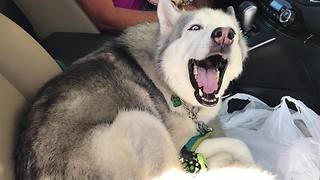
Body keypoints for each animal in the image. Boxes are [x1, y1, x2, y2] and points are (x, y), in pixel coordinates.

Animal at [15, 0, 276, 179]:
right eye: (194, 28)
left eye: (233, 31)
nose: (224, 35)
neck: (167, 80)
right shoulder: (181, 144)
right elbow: (238, 144)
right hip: (139, 121)